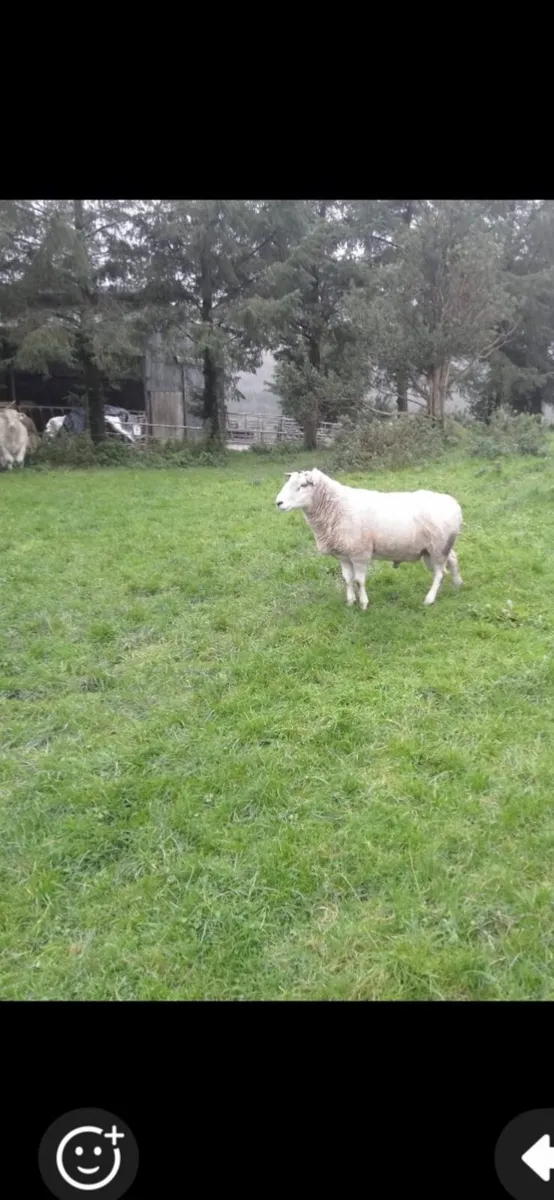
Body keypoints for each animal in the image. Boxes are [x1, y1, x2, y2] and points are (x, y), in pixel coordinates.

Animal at [275, 467, 463, 608]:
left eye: (303, 485)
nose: (278, 503)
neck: (336, 506)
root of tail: (453, 503)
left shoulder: (360, 552)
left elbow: (359, 580)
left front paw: (363, 604)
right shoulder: (344, 554)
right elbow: (348, 579)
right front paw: (350, 601)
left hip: (438, 547)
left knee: (440, 573)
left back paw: (429, 599)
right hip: (439, 547)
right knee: (453, 559)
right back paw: (457, 584)